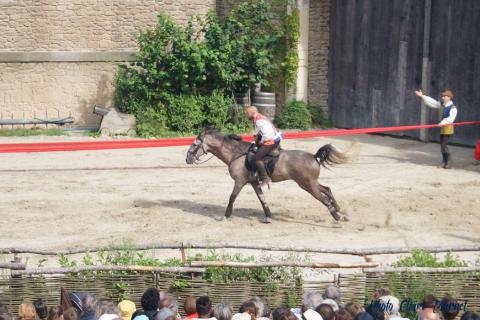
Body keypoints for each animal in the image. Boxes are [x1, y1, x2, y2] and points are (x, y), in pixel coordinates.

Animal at [185, 128, 348, 222]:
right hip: (309, 183)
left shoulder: (239, 182)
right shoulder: (254, 183)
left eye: (194, 144)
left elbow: (232, 198)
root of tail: (314, 157)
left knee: (324, 199)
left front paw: (226, 216)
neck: (236, 154)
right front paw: (268, 216)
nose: (187, 159)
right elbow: (262, 199)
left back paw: (337, 216)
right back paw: (339, 209)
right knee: (327, 189)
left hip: (307, 184)